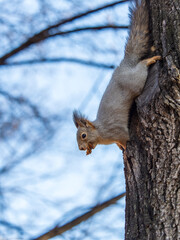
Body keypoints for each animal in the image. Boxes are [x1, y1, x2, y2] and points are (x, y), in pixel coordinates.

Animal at [72, 0, 161, 156]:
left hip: (136, 80)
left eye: (83, 135)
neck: (100, 132)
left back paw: (149, 60)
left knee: (141, 66)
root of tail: (125, 64)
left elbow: (125, 138)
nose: (81, 148)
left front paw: (124, 147)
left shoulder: (117, 131)